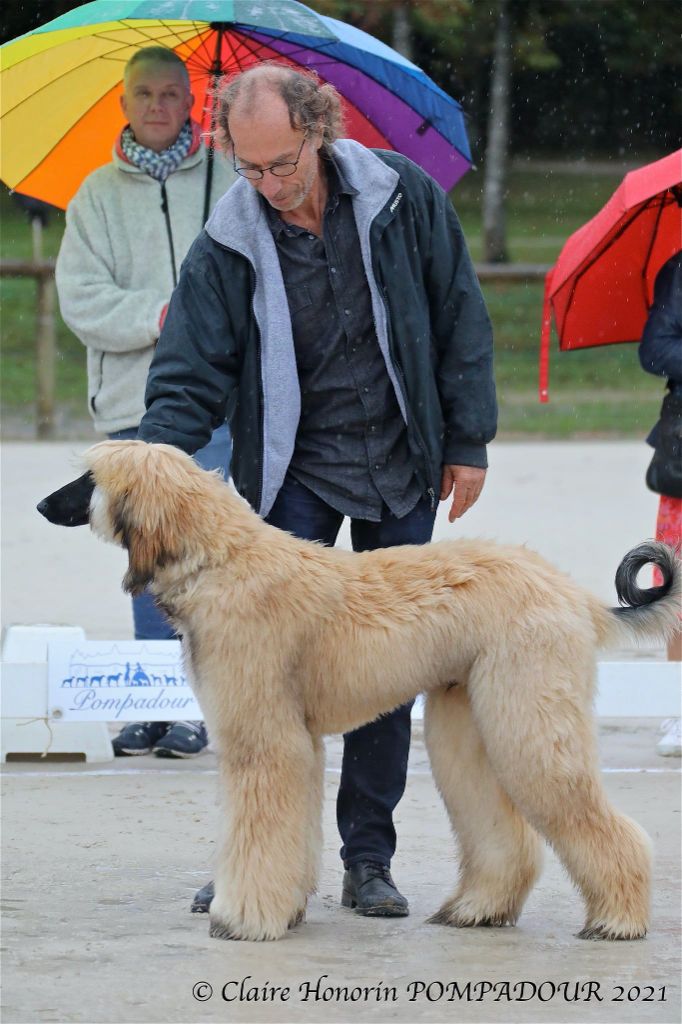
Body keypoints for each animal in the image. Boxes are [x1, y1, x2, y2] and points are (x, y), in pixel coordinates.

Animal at [38, 440, 679, 942]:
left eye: (89, 478)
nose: (43, 504)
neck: (221, 561)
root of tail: (575, 595)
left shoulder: (264, 737)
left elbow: (258, 830)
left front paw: (243, 916)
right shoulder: (296, 741)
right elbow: (292, 830)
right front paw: (285, 907)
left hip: (529, 714)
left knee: (592, 817)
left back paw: (618, 919)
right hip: (471, 719)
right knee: (501, 829)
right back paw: (477, 909)